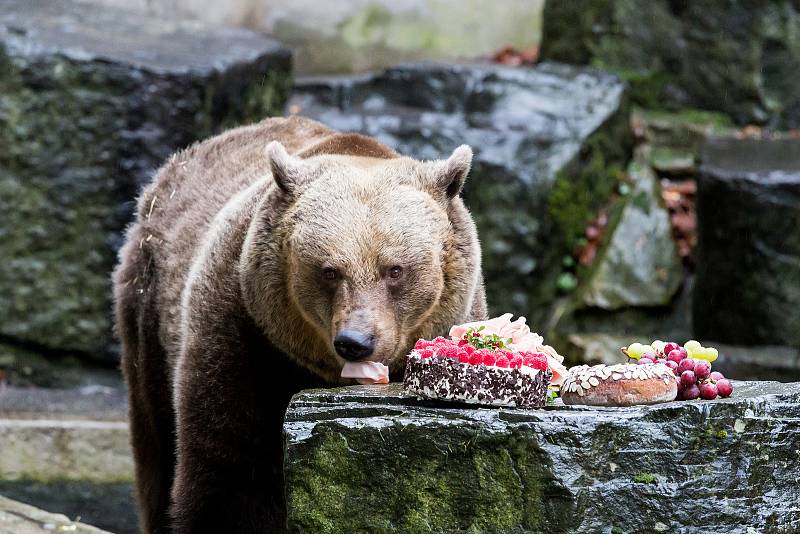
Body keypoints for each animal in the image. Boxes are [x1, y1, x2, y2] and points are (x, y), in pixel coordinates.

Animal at [112, 115, 488, 532]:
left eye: (395, 270)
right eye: (330, 271)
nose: (356, 341)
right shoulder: (243, 334)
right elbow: (229, 474)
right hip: (149, 302)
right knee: (156, 441)